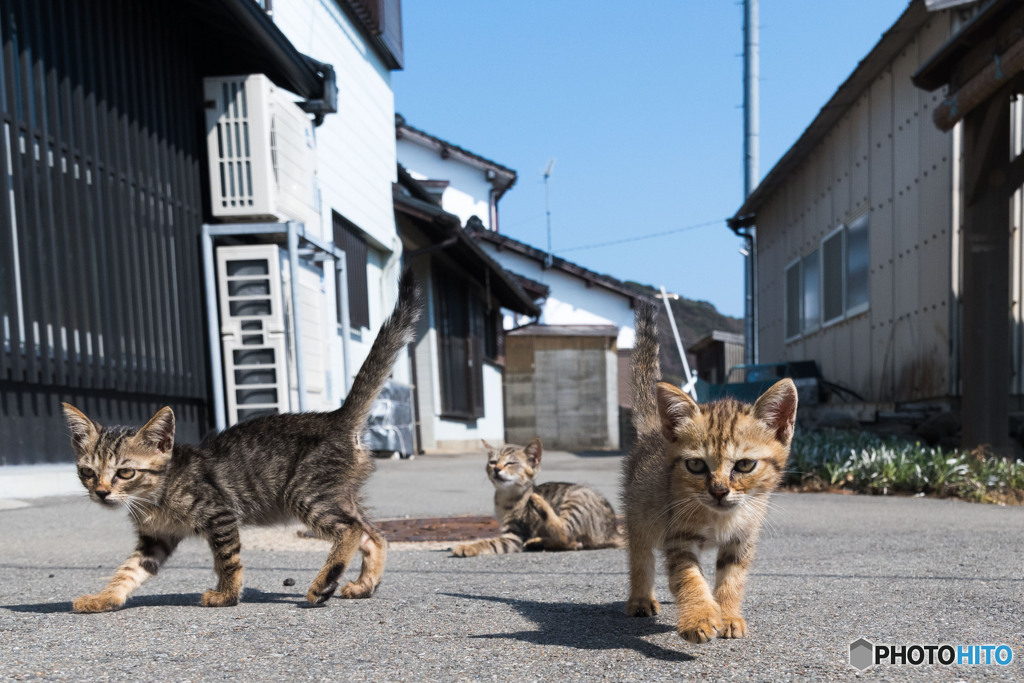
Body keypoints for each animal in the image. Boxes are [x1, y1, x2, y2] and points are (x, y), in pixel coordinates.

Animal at [62, 270, 419, 610]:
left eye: (125, 472)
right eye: (88, 472)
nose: (102, 492)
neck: (155, 496)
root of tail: (337, 416)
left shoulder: (219, 514)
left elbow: (227, 559)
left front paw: (227, 594)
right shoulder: (155, 540)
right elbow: (128, 570)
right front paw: (103, 598)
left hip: (305, 492)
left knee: (351, 530)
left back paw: (323, 584)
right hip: (340, 496)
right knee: (375, 535)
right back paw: (363, 585)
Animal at [454, 438, 622, 557]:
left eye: (510, 463)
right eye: (493, 462)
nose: (496, 469)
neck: (506, 497)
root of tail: (613, 530)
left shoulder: (515, 536)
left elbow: (490, 543)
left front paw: (466, 546)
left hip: (577, 497)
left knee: (564, 532)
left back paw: (539, 503)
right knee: (572, 541)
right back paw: (537, 543)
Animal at [622, 301, 798, 643]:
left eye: (744, 465)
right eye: (695, 465)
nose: (718, 490)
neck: (719, 519)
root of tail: (654, 431)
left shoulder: (741, 541)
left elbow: (731, 579)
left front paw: (727, 614)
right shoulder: (678, 538)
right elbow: (689, 578)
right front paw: (700, 617)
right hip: (639, 517)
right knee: (641, 558)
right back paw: (640, 598)